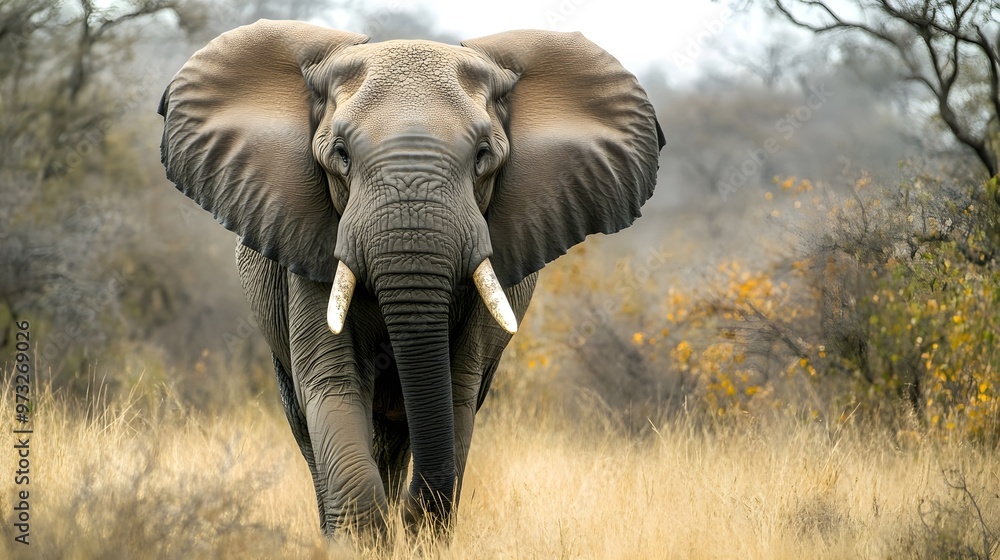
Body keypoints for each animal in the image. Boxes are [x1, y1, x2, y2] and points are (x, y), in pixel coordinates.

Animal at [157, 19, 663, 537]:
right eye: (341, 154)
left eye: (483, 156)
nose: (411, 515)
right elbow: (332, 380)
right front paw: (365, 539)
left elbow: (456, 388)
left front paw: (420, 531)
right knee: (311, 426)